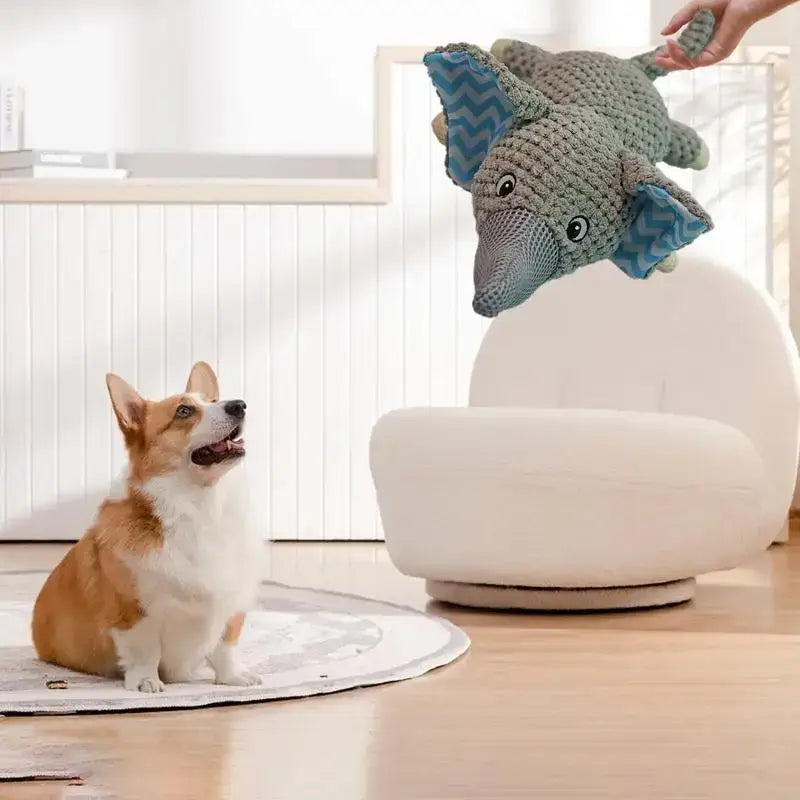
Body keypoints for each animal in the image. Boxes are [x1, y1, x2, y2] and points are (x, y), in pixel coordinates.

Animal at [32, 364, 262, 692]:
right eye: (183, 411)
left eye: (212, 401)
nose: (239, 405)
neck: (199, 507)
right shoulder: (133, 612)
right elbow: (145, 651)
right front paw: (146, 682)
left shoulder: (231, 601)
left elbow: (224, 646)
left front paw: (234, 676)